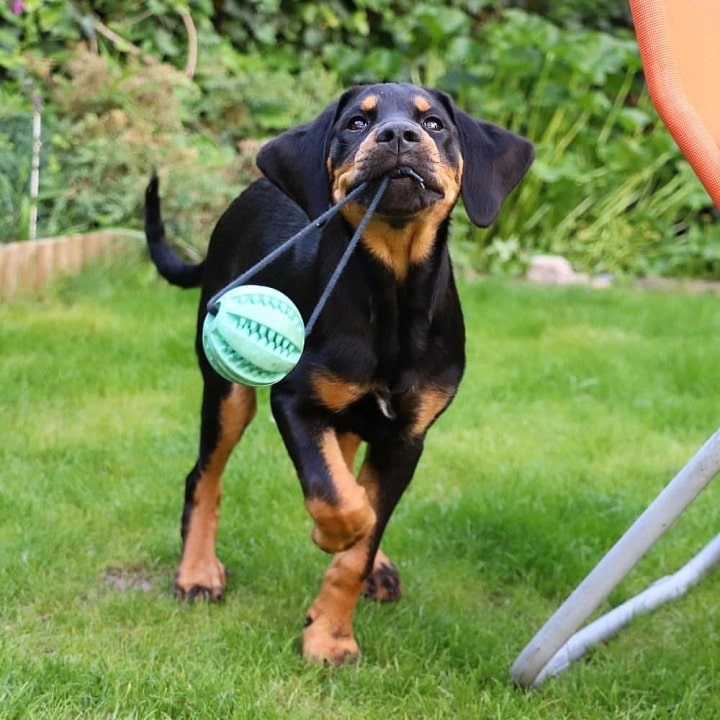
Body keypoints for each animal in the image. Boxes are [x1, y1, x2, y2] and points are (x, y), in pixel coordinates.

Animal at [143, 83, 532, 664]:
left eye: (435, 124)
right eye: (355, 123)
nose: (398, 135)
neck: (392, 295)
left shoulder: (406, 436)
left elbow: (360, 529)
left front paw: (330, 632)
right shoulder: (294, 401)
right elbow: (338, 499)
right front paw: (332, 546)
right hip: (228, 389)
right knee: (205, 476)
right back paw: (197, 573)